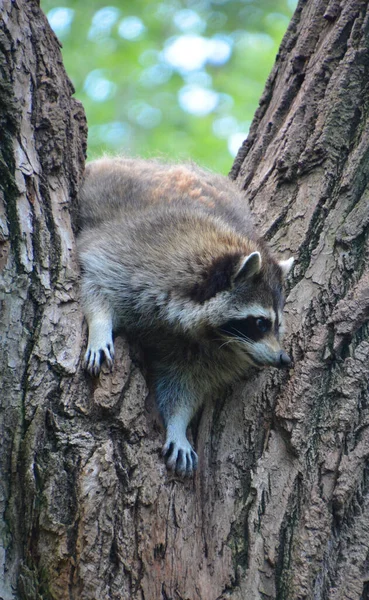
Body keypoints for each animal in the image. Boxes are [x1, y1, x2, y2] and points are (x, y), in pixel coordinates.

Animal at [77, 158, 294, 478]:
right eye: (260, 323)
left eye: (278, 325)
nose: (284, 359)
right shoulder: (132, 257)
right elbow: (96, 282)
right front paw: (100, 326)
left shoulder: (202, 352)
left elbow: (184, 385)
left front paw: (177, 425)